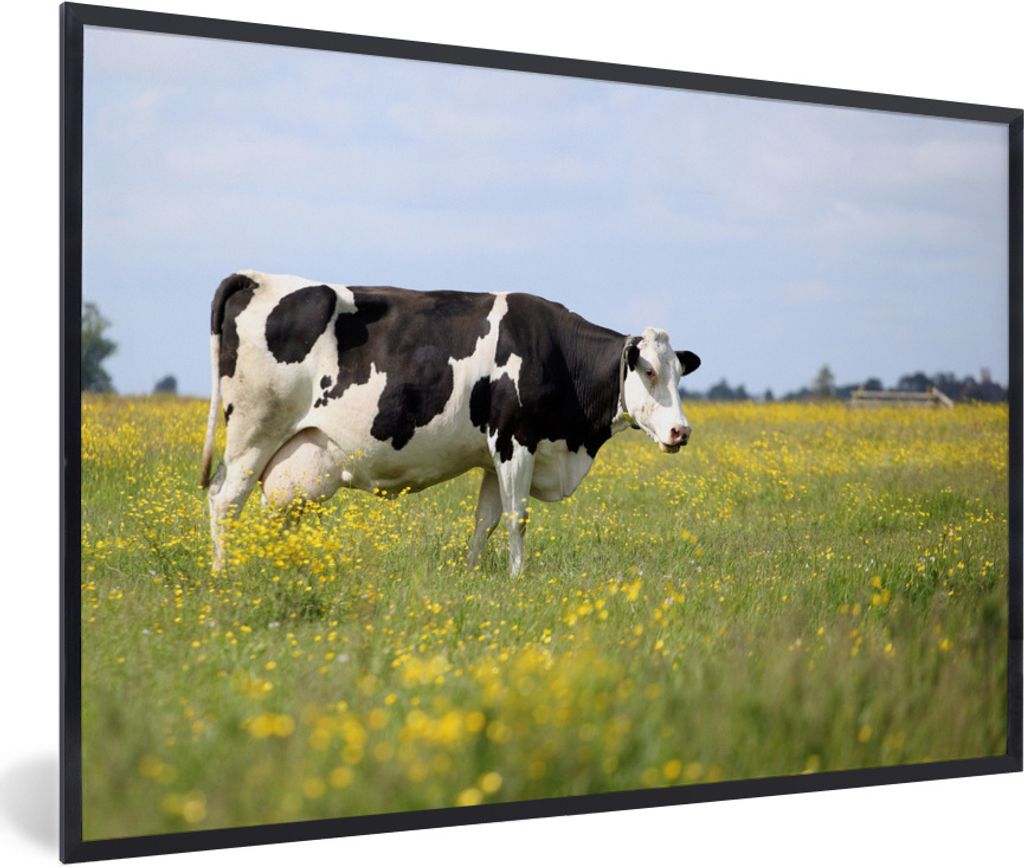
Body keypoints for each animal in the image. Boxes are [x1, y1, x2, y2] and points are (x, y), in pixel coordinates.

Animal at [200, 271, 701, 575]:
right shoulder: (516, 440)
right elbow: (517, 519)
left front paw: (472, 572)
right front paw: (518, 579)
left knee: (280, 512)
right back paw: (223, 574)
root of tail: (257, 277)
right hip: (253, 431)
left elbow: (486, 521)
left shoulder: (494, 456)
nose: (681, 431)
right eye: (649, 371)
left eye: (679, 373)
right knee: (224, 500)